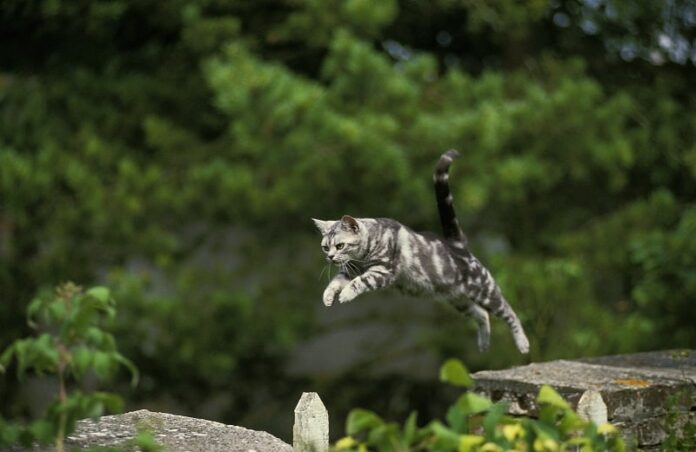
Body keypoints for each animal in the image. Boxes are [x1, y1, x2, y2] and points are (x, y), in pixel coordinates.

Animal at [312, 149, 532, 354]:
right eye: (325, 247)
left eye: (340, 246)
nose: (330, 257)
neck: (365, 253)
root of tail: (457, 244)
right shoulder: (349, 271)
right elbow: (334, 283)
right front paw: (328, 297)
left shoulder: (381, 272)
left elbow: (358, 283)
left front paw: (346, 294)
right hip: (459, 300)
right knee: (482, 315)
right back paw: (484, 343)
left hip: (485, 291)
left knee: (510, 313)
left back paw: (523, 344)